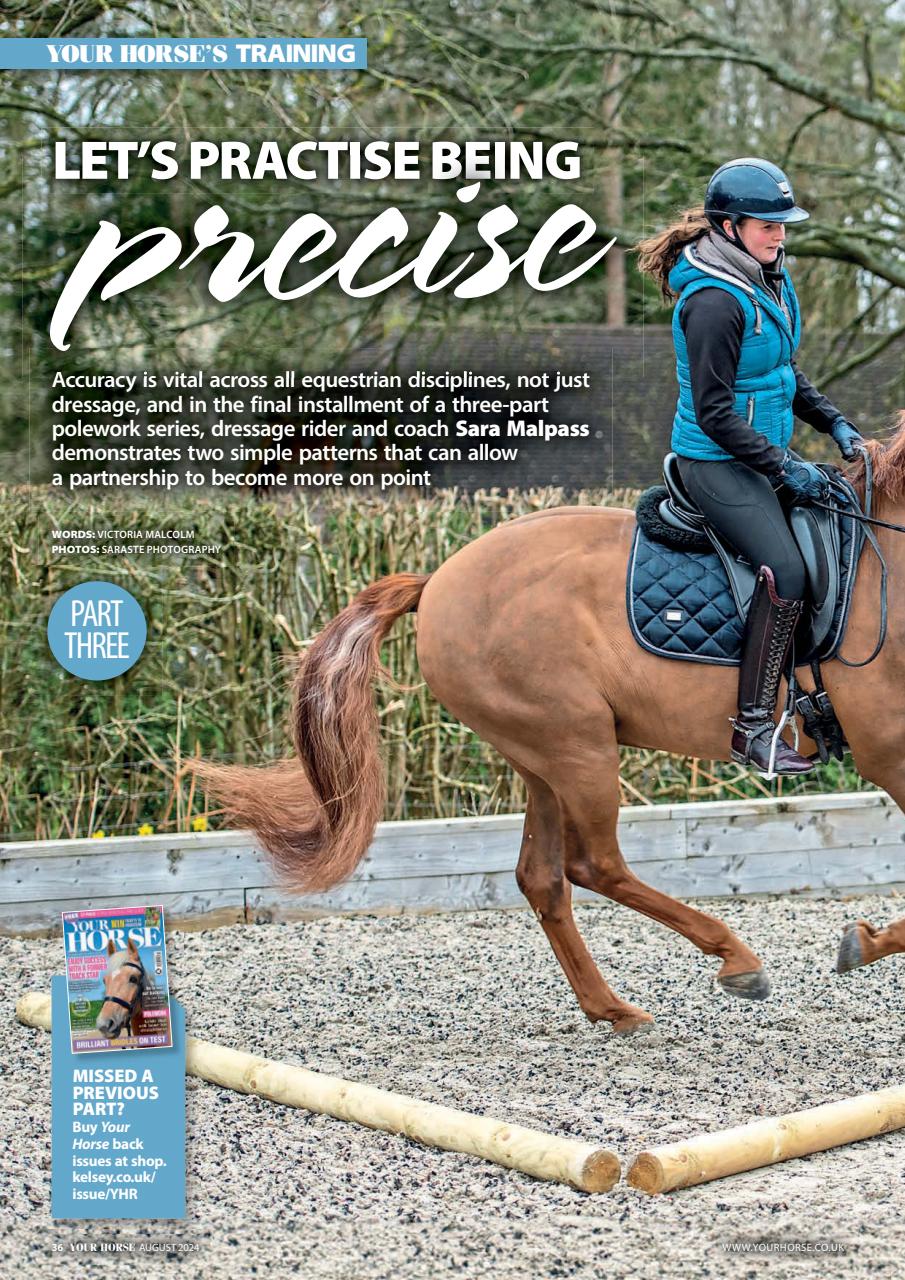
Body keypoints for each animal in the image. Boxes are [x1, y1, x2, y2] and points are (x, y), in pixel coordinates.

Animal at [197, 417, 905, 1034]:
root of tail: (439, 580)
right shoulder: (889, 758)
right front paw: (862, 943)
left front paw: (865, 942)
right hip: (579, 747)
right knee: (595, 865)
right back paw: (734, 959)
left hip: (541, 757)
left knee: (542, 877)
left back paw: (611, 1008)